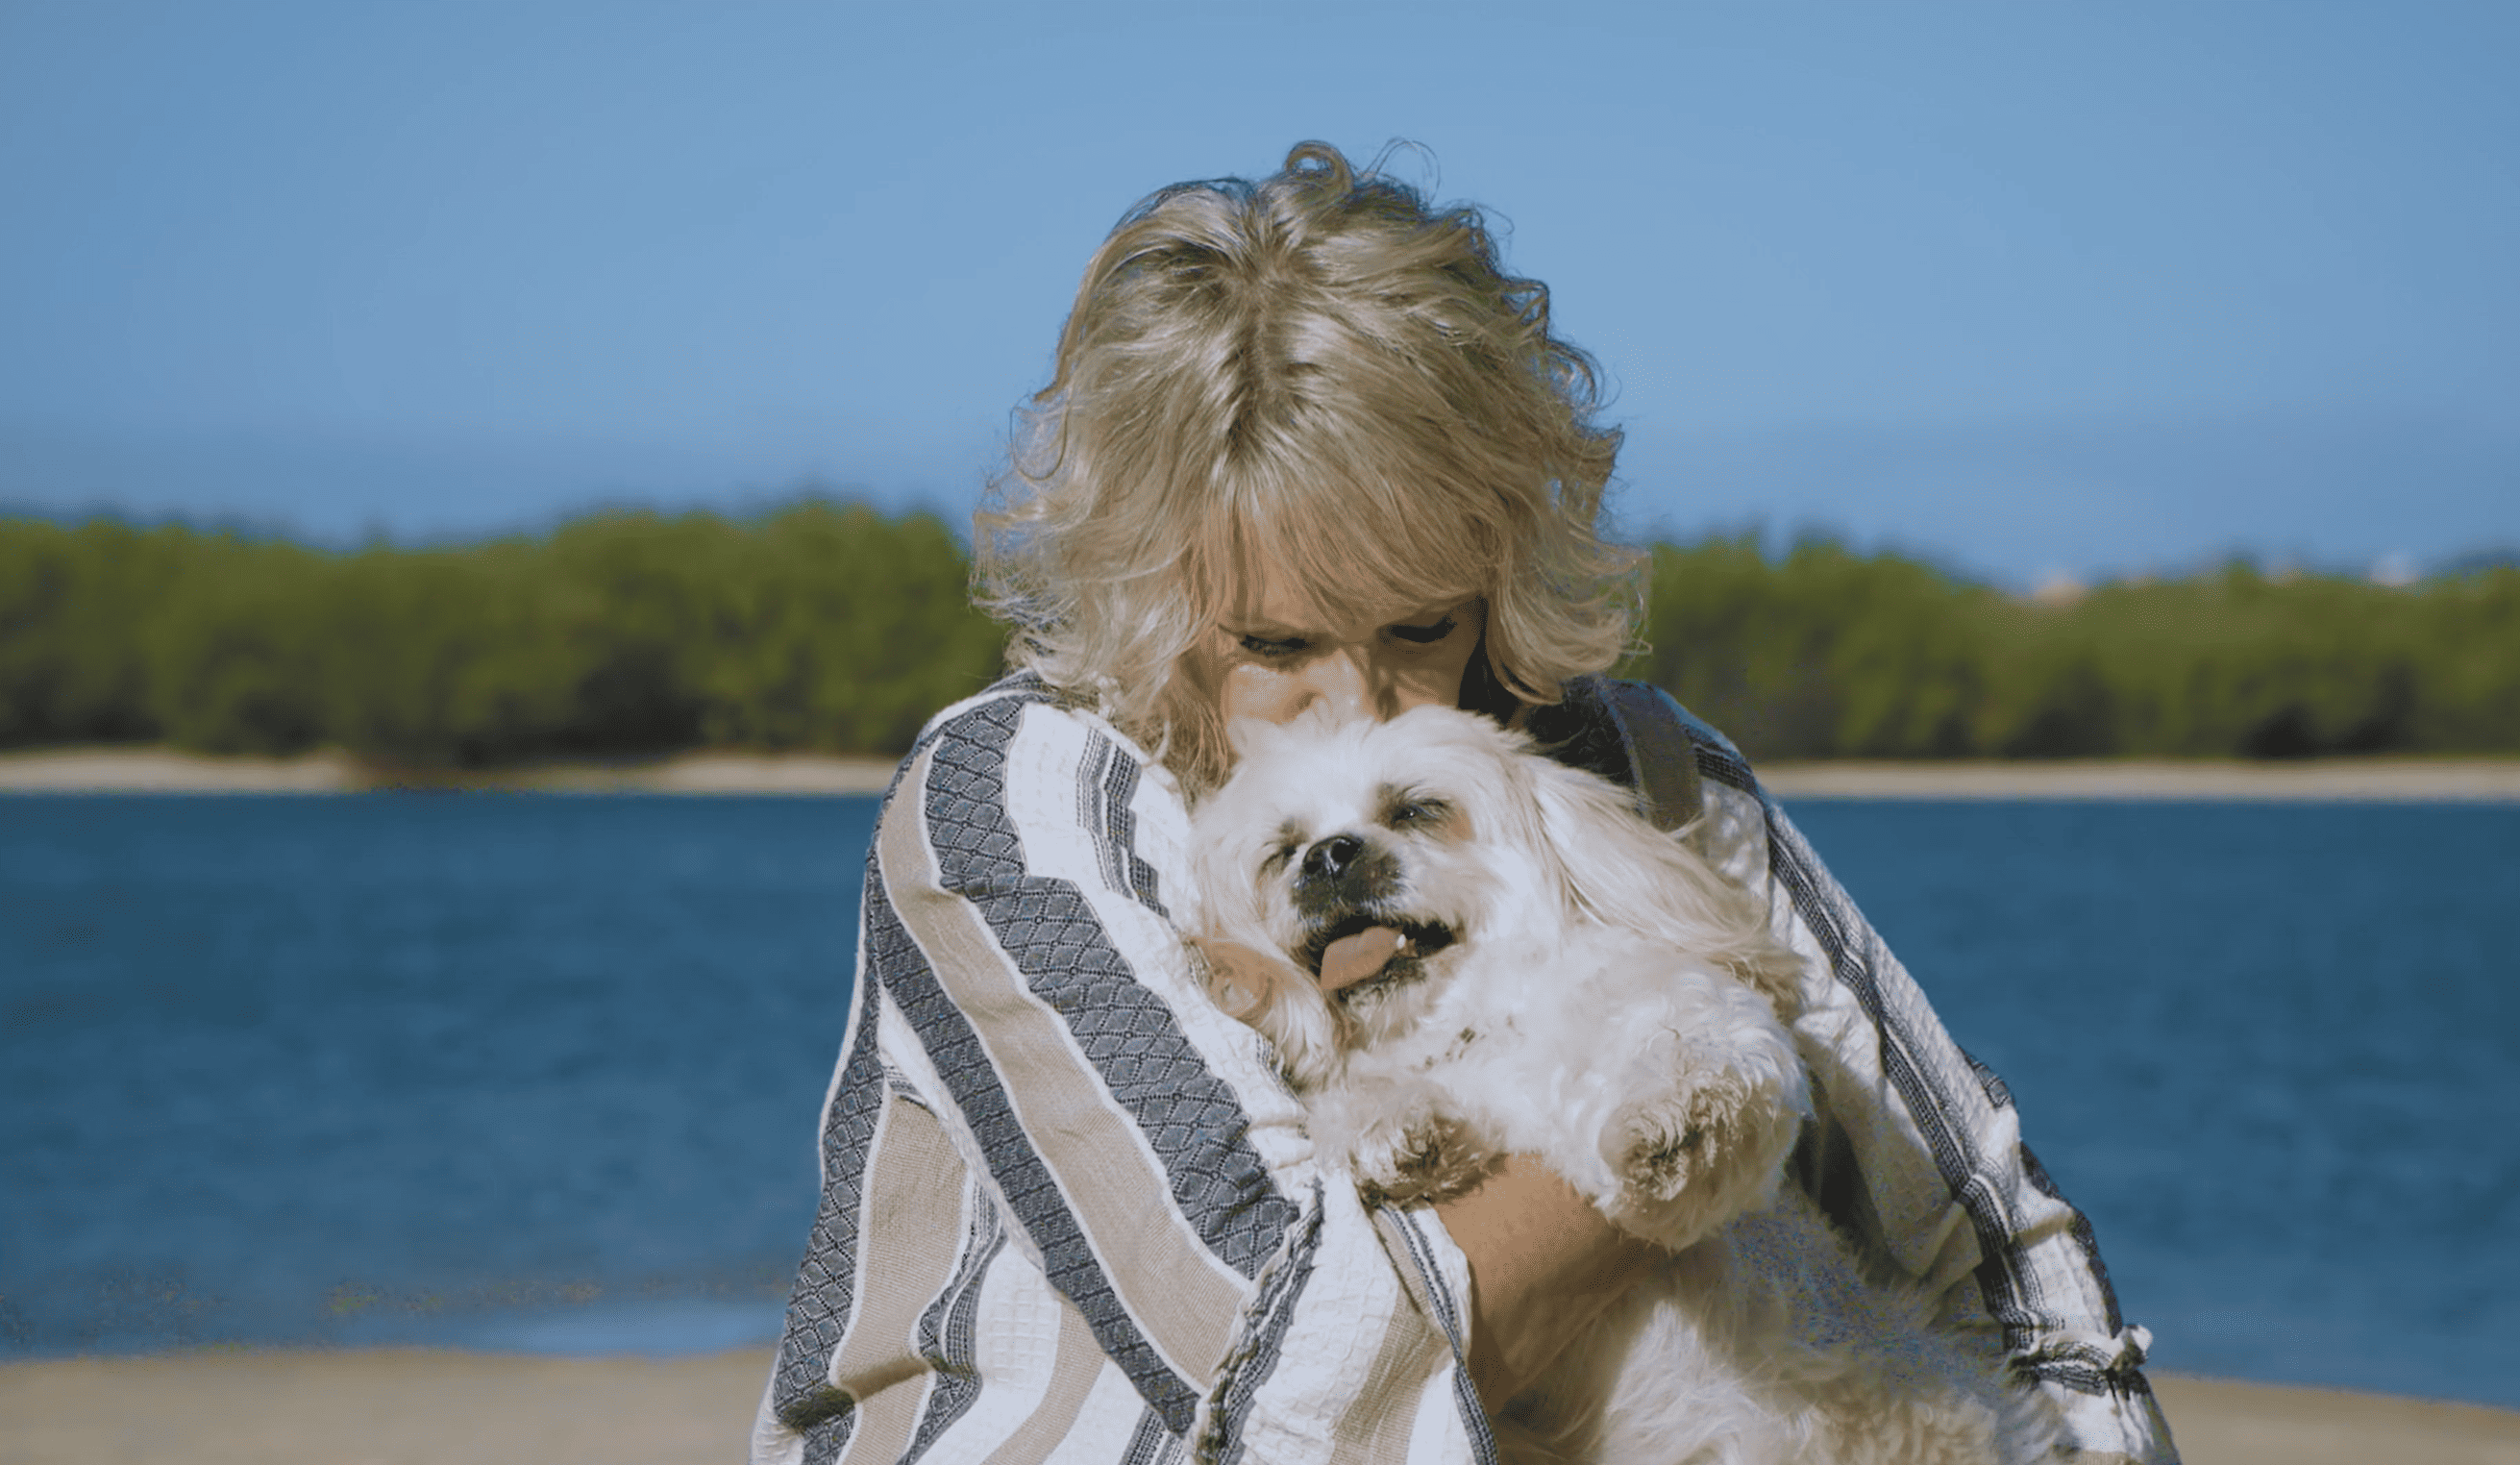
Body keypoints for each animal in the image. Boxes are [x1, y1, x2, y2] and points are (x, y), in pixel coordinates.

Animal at [1189, 706, 2056, 1462]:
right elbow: (1365, 1110)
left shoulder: (1681, 1010)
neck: (1473, 1027)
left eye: (1418, 809)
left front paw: (1682, 1123)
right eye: (1283, 851)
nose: (1329, 856)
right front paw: (1397, 1131)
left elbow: (1694, 1047)